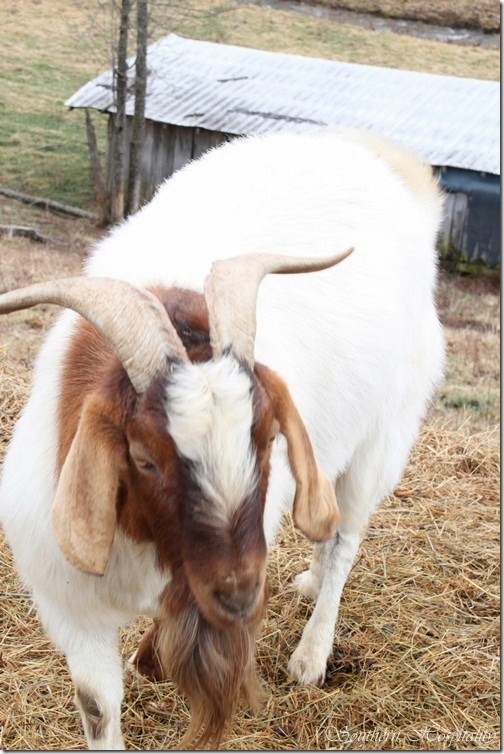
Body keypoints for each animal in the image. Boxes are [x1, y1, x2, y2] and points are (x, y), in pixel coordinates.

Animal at [0, 129, 444, 749]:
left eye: (268, 436)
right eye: (143, 457)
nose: (238, 596)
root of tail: (385, 164)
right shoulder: (71, 604)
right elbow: (97, 705)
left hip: (383, 437)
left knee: (347, 537)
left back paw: (312, 655)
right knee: (327, 522)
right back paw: (307, 582)